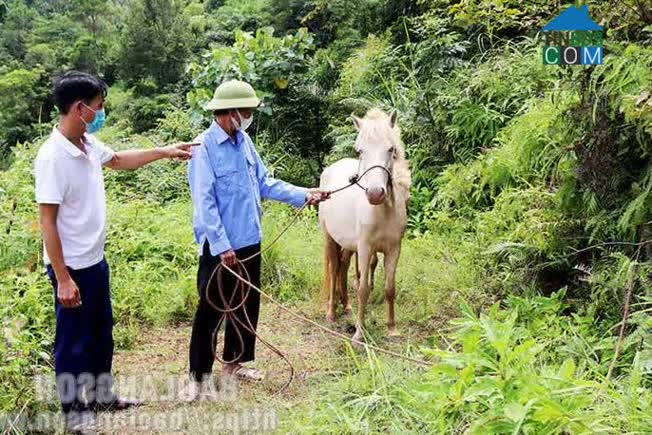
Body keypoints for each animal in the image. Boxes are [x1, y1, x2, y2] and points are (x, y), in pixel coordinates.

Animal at [318, 108, 410, 344]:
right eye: (360, 151)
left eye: (391, 149)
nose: (375, 193)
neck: (383, 212)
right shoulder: (366, 248)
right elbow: (363, 289)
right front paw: (359, 333)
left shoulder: (394, 249)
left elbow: (389, 288)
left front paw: (392, 328)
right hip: (330, 238)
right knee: (334, 269)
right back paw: (331, 313)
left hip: (349, 246)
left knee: (342, 266)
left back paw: (346, 306)